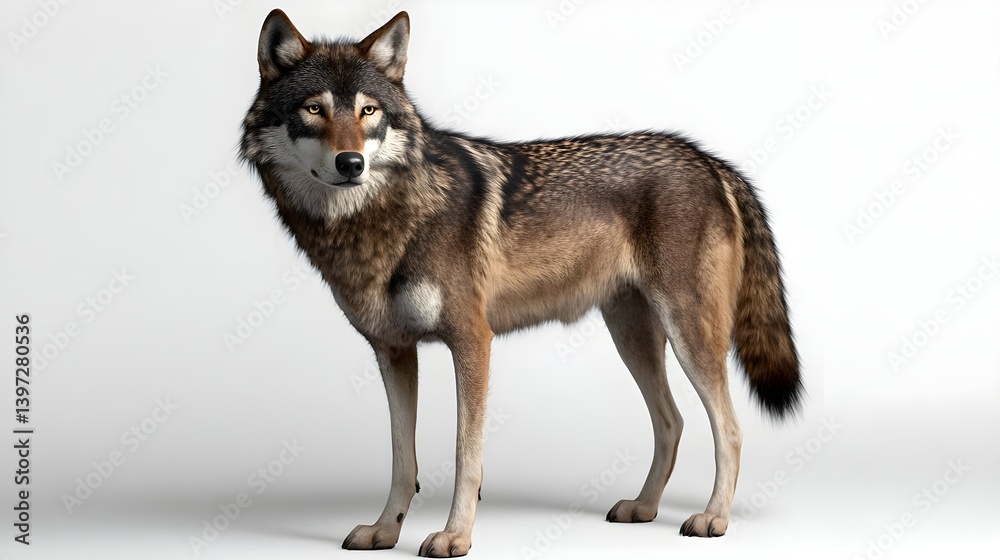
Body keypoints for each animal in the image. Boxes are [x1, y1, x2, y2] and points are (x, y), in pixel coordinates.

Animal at [240, 9, 802, 557]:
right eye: (315, 110)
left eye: (368, 112)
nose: (351, 163)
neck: (380, 221)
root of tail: (710, 162)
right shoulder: (393, 351)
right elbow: (404, 460)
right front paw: (384, 530)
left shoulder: (473, 342)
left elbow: (465, 456)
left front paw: (455, 537)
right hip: (633, 339)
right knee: (673, 422)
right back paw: (642, 507)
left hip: (687, 337)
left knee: (729, 428)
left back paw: (713, 519)